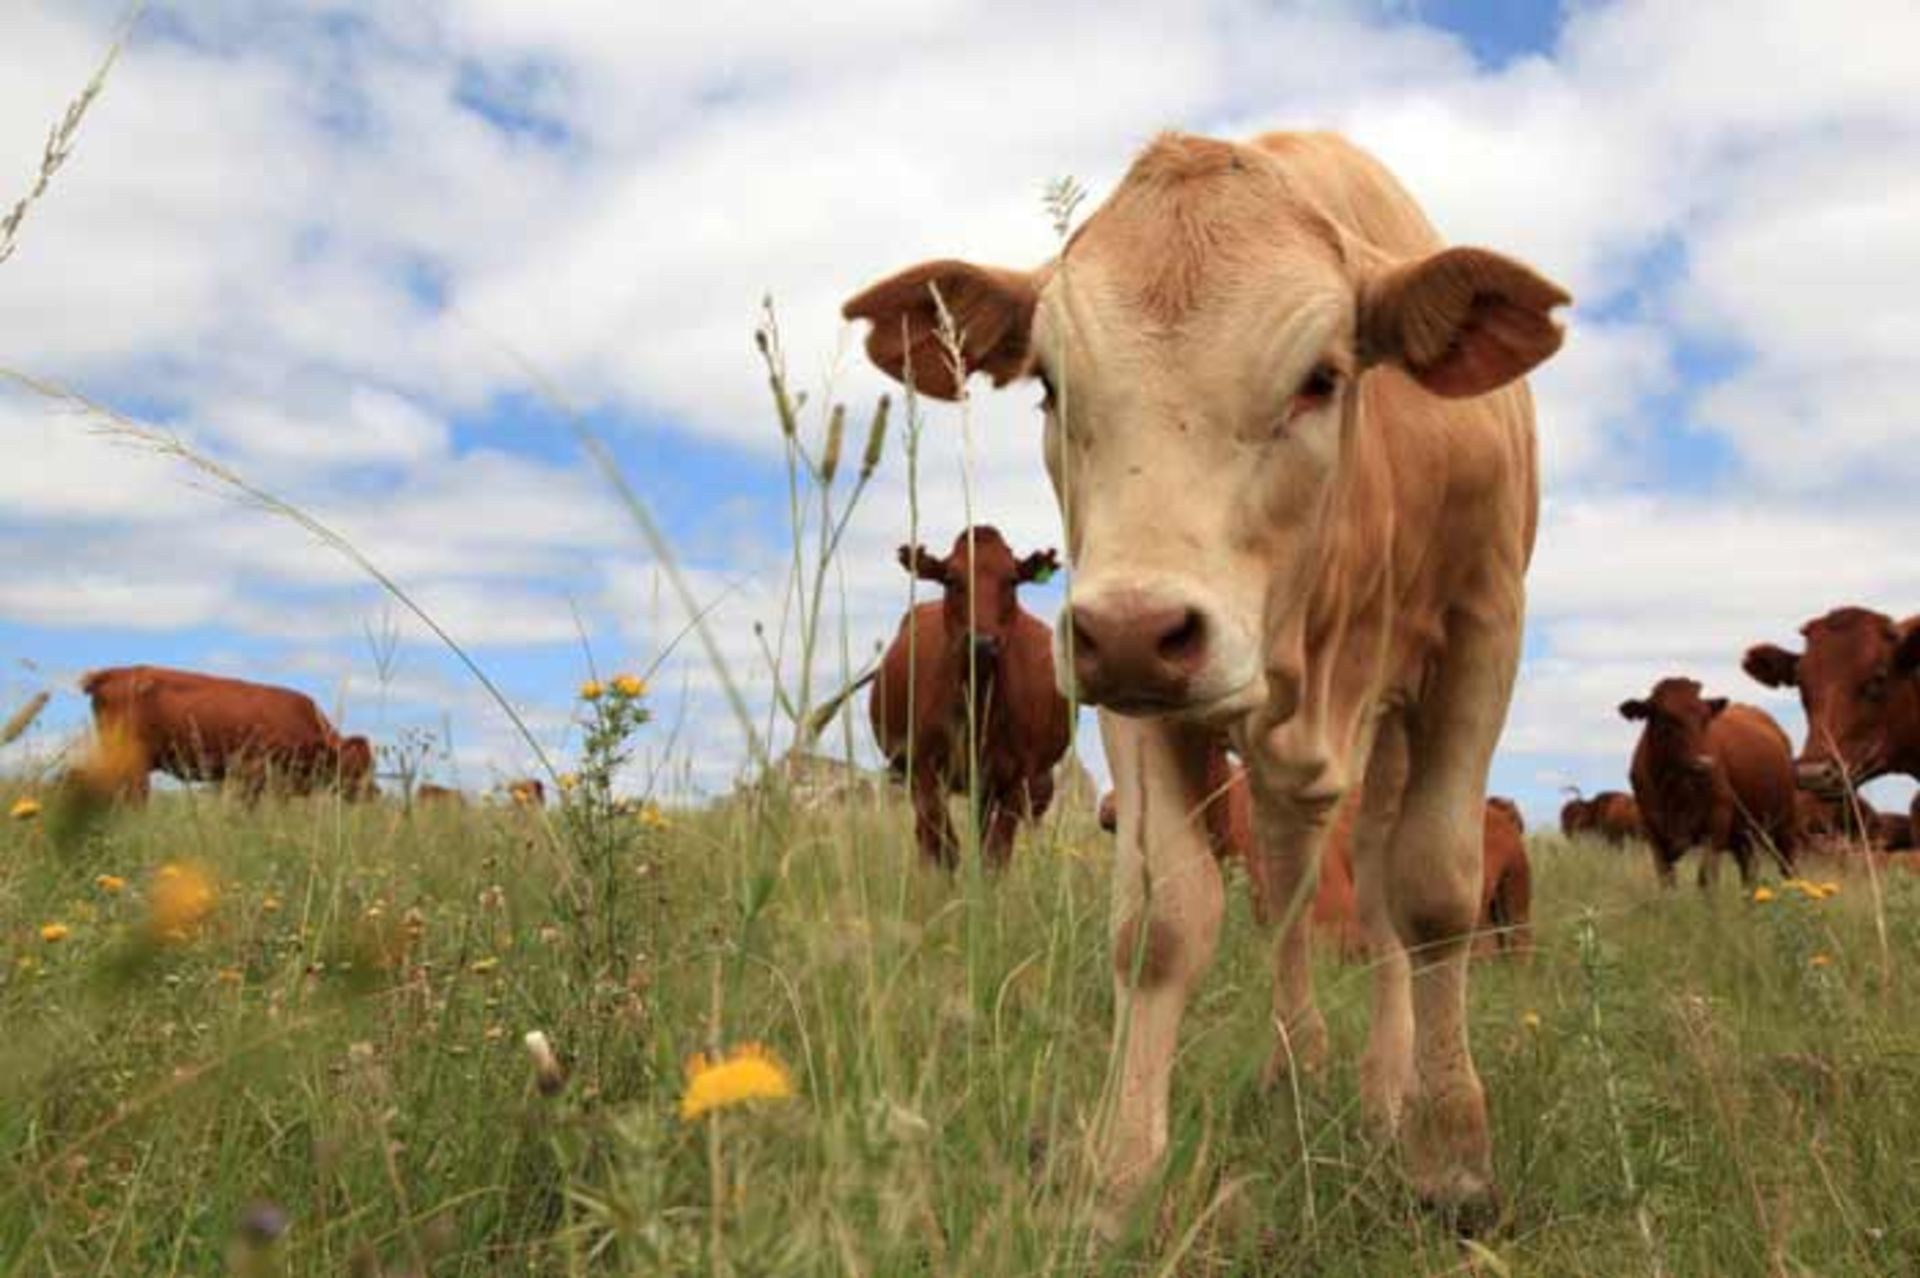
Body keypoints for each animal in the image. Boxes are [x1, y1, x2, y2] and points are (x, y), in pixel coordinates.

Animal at [875, 521, 1082, 867]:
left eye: (1011, 580)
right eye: (951, 580)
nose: (983, 643)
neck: (980, 698)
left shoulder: (1017, 777)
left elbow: (995, 853)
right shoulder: (924, 768)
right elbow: (944, 847)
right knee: (925, 835)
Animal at [1620, 675, 1797, 886]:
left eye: (1705, 718)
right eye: (1667, 718)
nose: (1705, 765)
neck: (1672, 788)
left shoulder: (1716, 823)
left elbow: (1706, 878)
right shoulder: (1653, 832)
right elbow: (1667, 880)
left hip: (1785, 823)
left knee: (1787, 866)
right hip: (1743, 836)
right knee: (1748, 872)